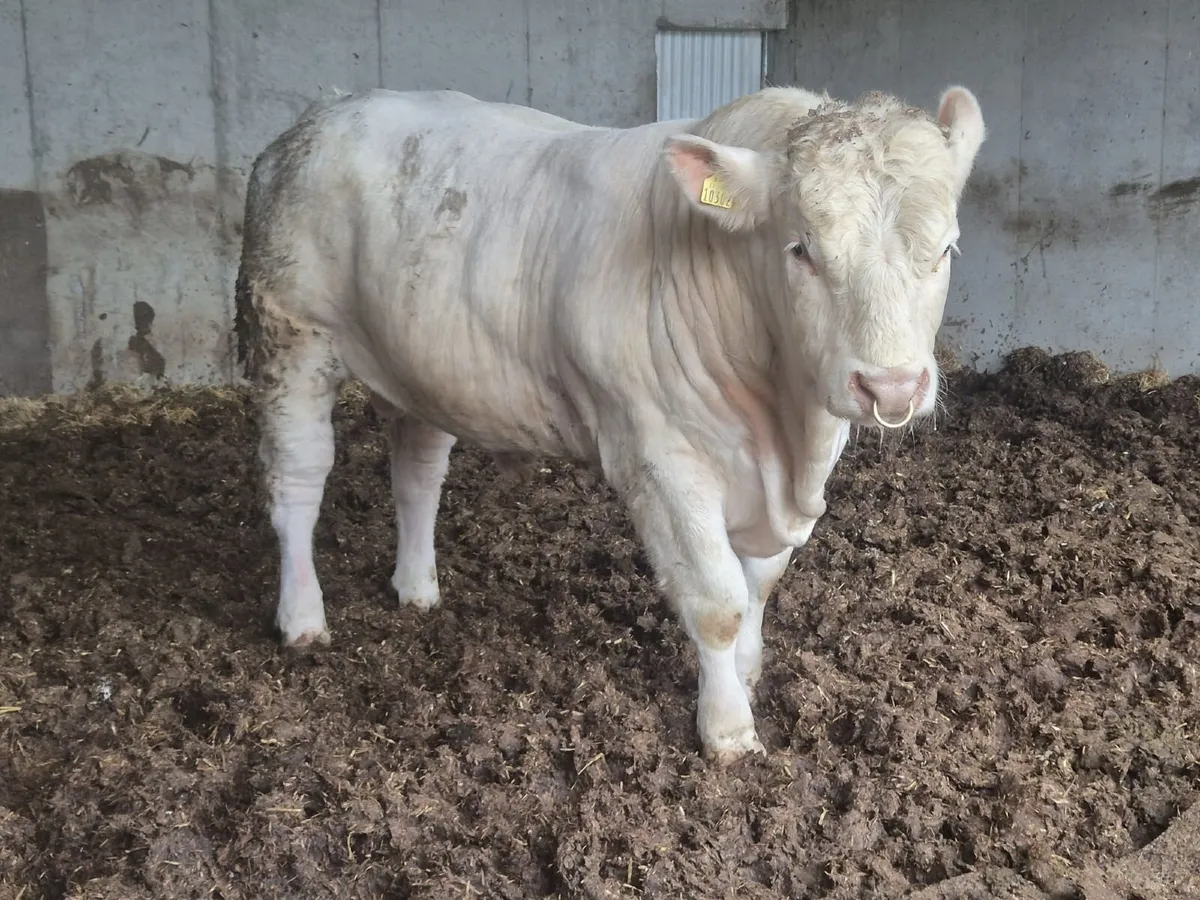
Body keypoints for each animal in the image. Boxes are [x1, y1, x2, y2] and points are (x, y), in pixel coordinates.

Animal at [234, 83, 985, 764]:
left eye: (947, 249)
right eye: (801, 249)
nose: (891, 386)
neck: (785, 428)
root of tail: (327, 112)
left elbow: (759, 585)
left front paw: (747, 677)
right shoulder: (659, 458)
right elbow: (717, 599)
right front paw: (728, 730)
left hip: (422, 367)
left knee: (417, 474)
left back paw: (418, 591)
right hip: (290, 335)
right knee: (298, 481)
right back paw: (302, 619)